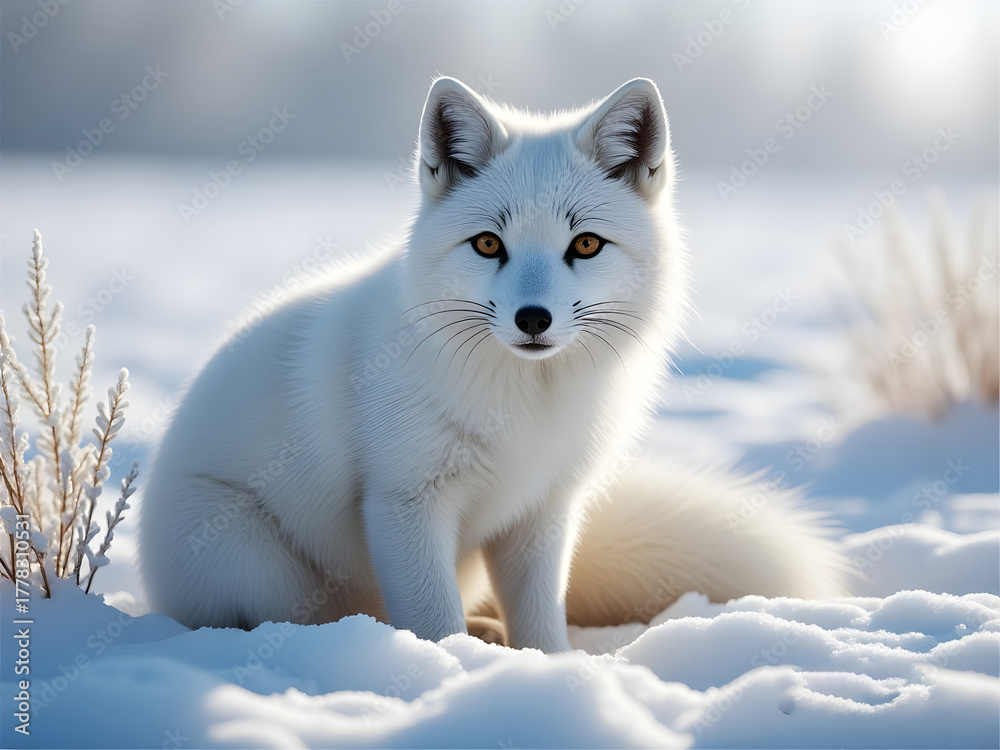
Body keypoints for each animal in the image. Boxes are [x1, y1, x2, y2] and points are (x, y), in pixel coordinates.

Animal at [139, 77, 849, 652]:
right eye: (487, 244)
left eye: (585, 245)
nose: (533, 319)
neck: (525, 406)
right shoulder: (405, 500)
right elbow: (431, 620)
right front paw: (451, 673)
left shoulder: (543, 510)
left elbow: (541, 618)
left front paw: (547, 668)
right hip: (254, 565)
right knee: (316, 621)